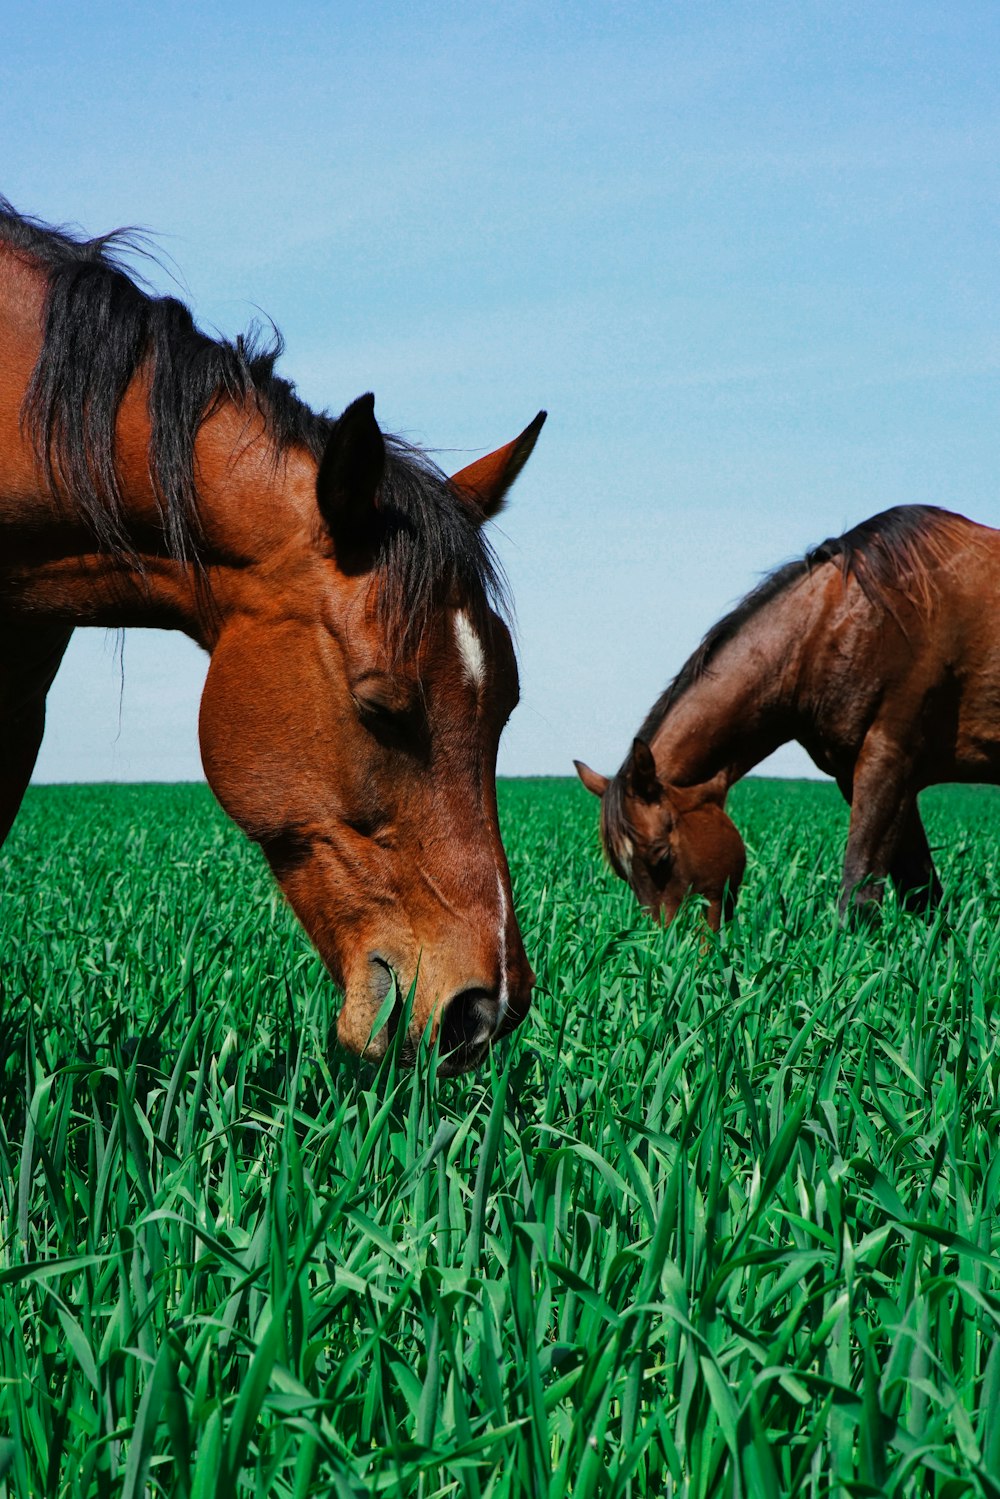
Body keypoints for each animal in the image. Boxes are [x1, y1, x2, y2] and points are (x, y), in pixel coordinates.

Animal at [575, 503, 1000, 923]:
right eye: (624, 874)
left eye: (661, 857)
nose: (675, 944)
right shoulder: (865, 775)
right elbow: (923, 894)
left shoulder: (888, 763)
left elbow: (859, 896)